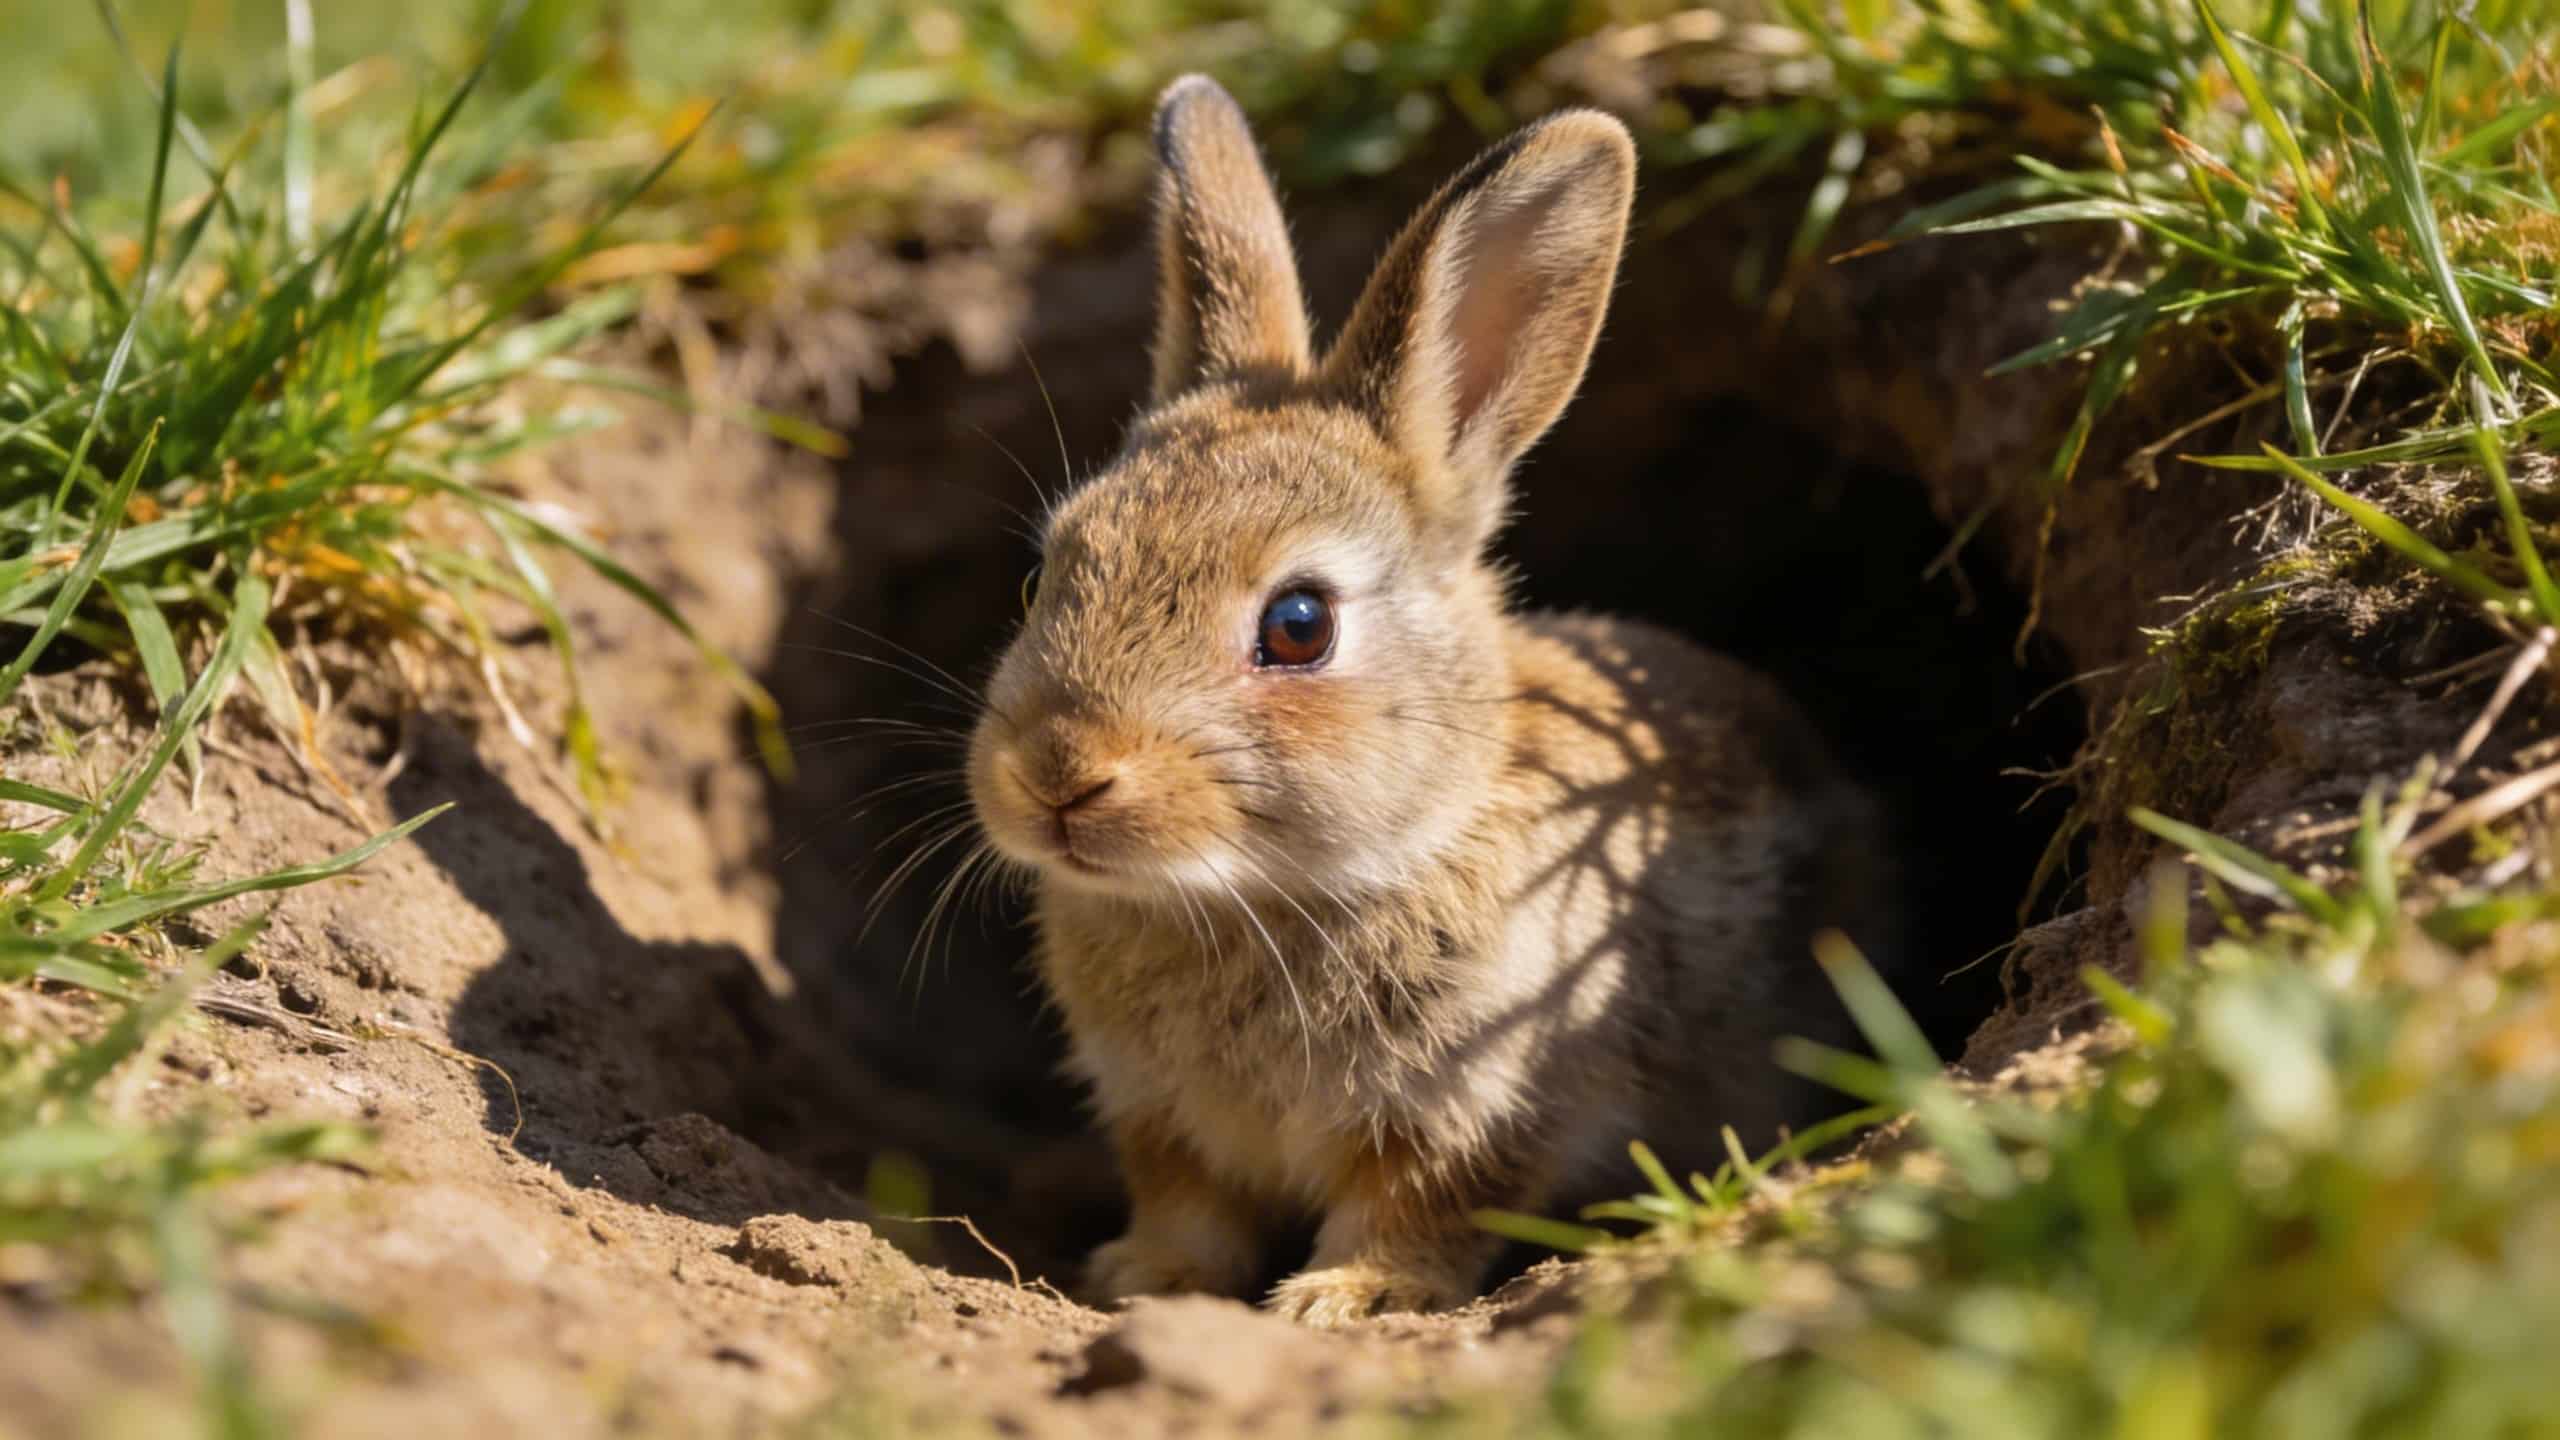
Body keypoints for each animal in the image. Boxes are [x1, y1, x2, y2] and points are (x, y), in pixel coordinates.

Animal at [962, 74, 1899, 1327]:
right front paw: (1146, 1279)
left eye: (1298, 624)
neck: (1277, 893)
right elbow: (1187, 1203)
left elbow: (1420, 1204)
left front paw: (1345, 1299)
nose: (1057, 776)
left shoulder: (1483, 1098)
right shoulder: (1161, 1119)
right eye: (1041, 579)